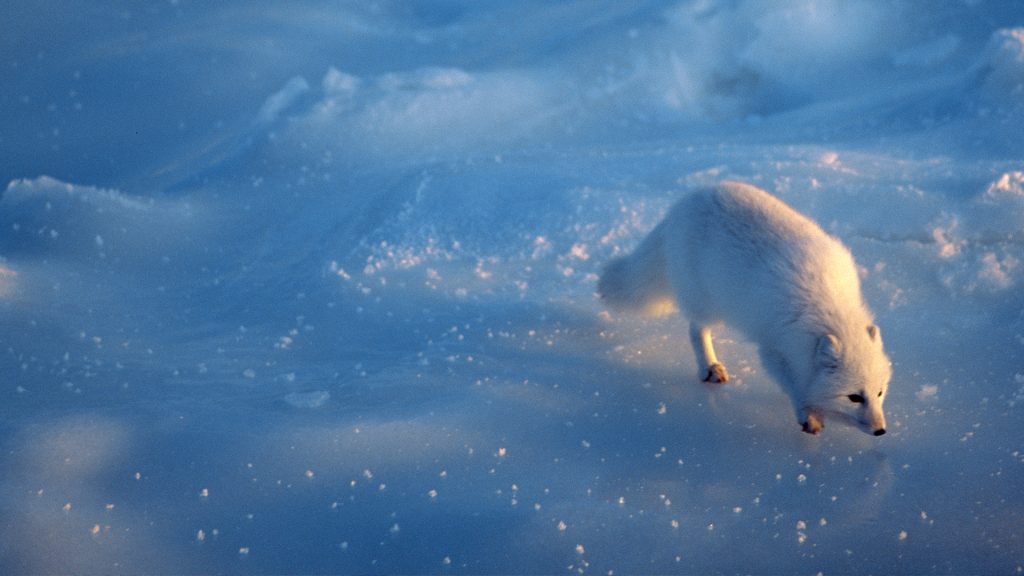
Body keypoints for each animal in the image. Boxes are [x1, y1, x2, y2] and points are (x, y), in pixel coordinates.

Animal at [598, 181, 891, 436]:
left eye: (879, 392)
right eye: (854, 397)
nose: (880, 431)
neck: (830, 309)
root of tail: (684, 203)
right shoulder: (774, 348)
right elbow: (794, 385)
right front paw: (808, 414)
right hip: (707, 301)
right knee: (696, 329)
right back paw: (710, 367)